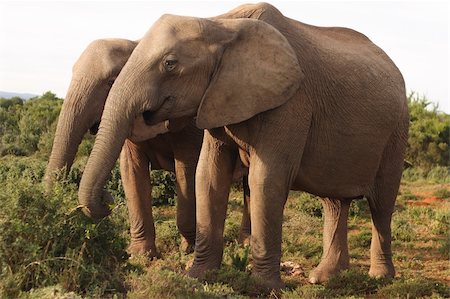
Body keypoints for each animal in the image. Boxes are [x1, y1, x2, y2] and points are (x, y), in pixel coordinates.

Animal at [44, 38, 253, 258]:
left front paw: (188, 249)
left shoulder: (189, 124)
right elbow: (132, 172)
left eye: (111, 82)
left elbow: (187, 171)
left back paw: (245, 245)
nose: (105, 197)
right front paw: (140, 255)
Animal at [78, 2, 412, 290]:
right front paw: (198, 277)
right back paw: (324, 278)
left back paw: (380, 277)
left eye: (170, 64)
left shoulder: (291, 101)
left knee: (381, 203)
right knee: (334, 202)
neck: (221, 23)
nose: (106, 200)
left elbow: (266, 179)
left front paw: (263, 287)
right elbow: (208, 176)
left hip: (397, 131)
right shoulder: (218, 98)